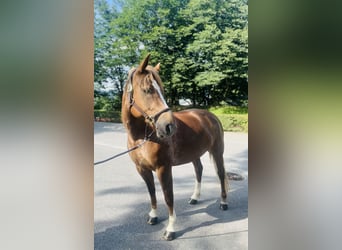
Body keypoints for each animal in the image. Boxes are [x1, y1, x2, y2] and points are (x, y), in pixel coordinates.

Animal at [120, 54, 227, 240]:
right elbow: (152, 192)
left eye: (161, 90)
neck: (143, 137)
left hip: (217, 151)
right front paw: (153, 216)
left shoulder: (163, 168)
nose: (169, 126)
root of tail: (211, 116)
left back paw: (223, 202)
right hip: (194, 154)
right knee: (199, 170)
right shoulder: (142, 169)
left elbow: (168, 196)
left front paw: (170, 229)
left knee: (220, 174)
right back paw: (195, 198)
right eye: (147, 90)